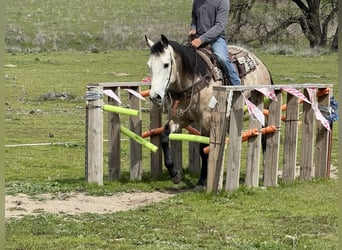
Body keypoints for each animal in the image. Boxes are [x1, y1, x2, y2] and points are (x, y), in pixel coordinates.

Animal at [145, 34, 272, 188]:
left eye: (166, 64)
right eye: (150, 65)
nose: (155, 97)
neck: (193, 81)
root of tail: (260, 63)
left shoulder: (207, 119)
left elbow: (203, 148)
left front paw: (202, 181)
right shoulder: (179, 119)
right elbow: (164, 138)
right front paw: (174, 173)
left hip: (260, 106)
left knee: (264, 133)